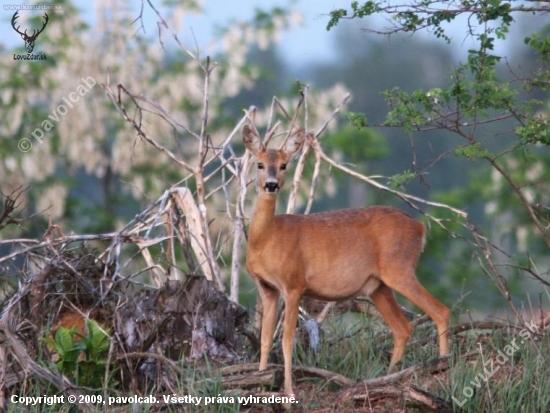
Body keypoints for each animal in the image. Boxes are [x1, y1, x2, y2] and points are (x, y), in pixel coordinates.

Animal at [244, 124, 450, 400]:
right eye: (259, 164)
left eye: (284, 164)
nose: (271, 184)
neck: (266, 239)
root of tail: (420, 228)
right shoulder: (268, 288)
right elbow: (265, 340)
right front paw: (259, 382)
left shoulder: (294, 284)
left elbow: (286, 341)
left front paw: (288, 394)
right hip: (378, 286)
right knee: (403, 327)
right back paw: (387, 376)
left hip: (399, 269)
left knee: (440, 311)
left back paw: (442, 365)